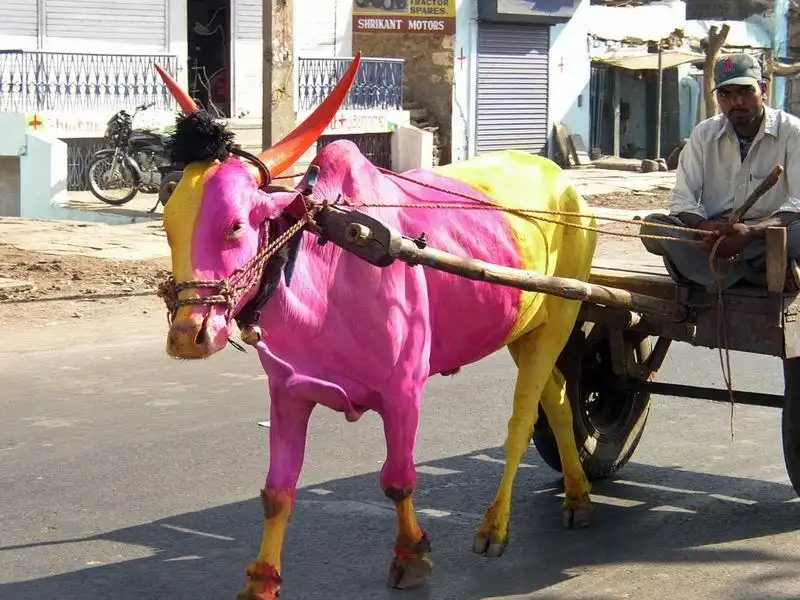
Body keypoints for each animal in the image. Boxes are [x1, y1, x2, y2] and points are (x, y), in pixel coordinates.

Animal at [153, 55, 598, 600]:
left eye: (236, 226)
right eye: (168, 225)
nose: (188, 335)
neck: (329, 262)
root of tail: (565, 182)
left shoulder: (404, 390)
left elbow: (398, 480)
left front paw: (412, 556)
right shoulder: (288, 393)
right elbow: (277, 492)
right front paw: (261, 580)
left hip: (563, 316)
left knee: (521, 419)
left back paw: (495, 526)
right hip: (525, 331)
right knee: (557, 399)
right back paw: (577, 496)